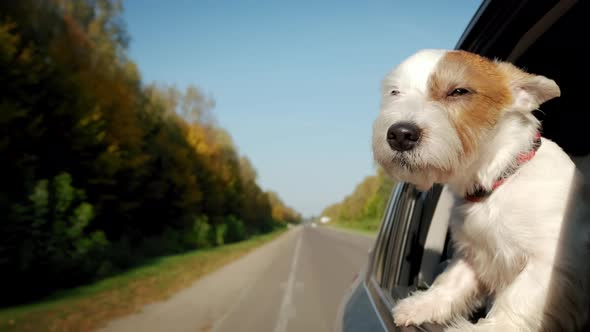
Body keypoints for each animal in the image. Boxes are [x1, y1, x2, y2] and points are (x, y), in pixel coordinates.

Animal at [374, 50, 590, 332]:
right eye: (394, 92)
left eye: (458, 91)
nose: (399, 134)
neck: (498, 181)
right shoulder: (473, 254)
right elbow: (451, 281)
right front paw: (422, 305)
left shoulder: (553, 260)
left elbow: (519, 297)